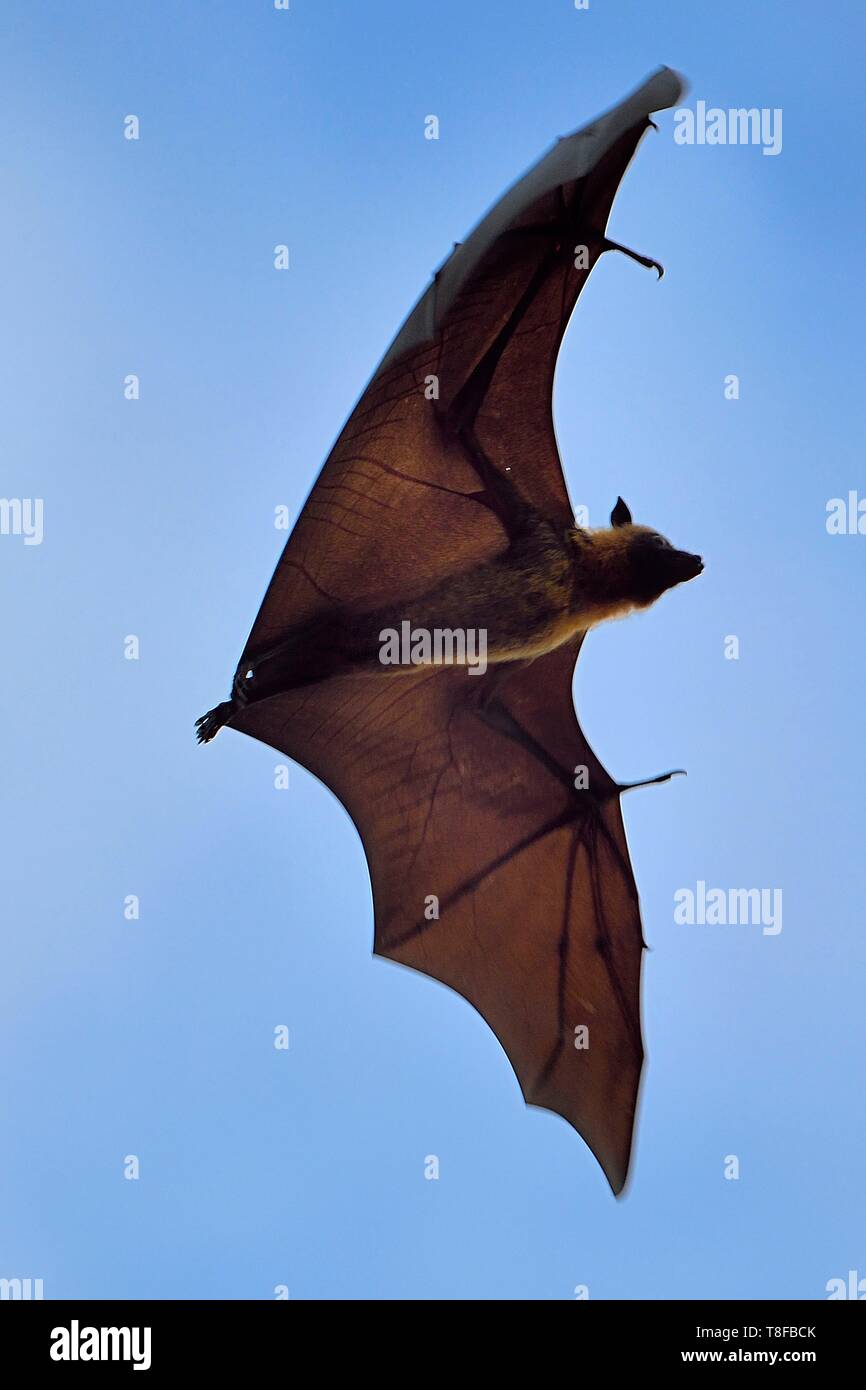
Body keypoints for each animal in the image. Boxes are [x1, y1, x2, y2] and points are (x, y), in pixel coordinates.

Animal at [196, 494, 702, 743]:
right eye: (658, 543)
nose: (695, 560)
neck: (584, 585)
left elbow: (484, 703)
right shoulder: (542, 539)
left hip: (333, 660)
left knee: (295, 672)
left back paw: (231, 706)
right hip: (344, 629)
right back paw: (238, 685)